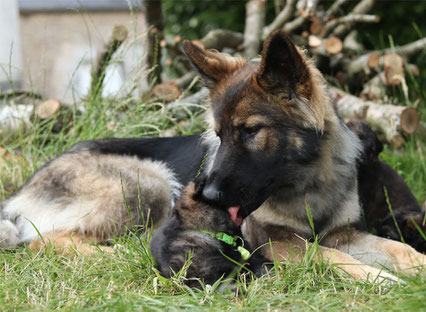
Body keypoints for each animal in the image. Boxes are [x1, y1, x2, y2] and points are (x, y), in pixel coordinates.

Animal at [0, 31, 424, 282]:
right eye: (219, 135)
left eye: (251, 131)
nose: (209, 196)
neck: (305, 184)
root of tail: (20, 193)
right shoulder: (276, 242)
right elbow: (329, 257)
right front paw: (381, 280)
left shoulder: (344, 233)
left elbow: (397, 248)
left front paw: (415, 268)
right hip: (147, 182)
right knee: (47, 240)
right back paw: (119, 254)